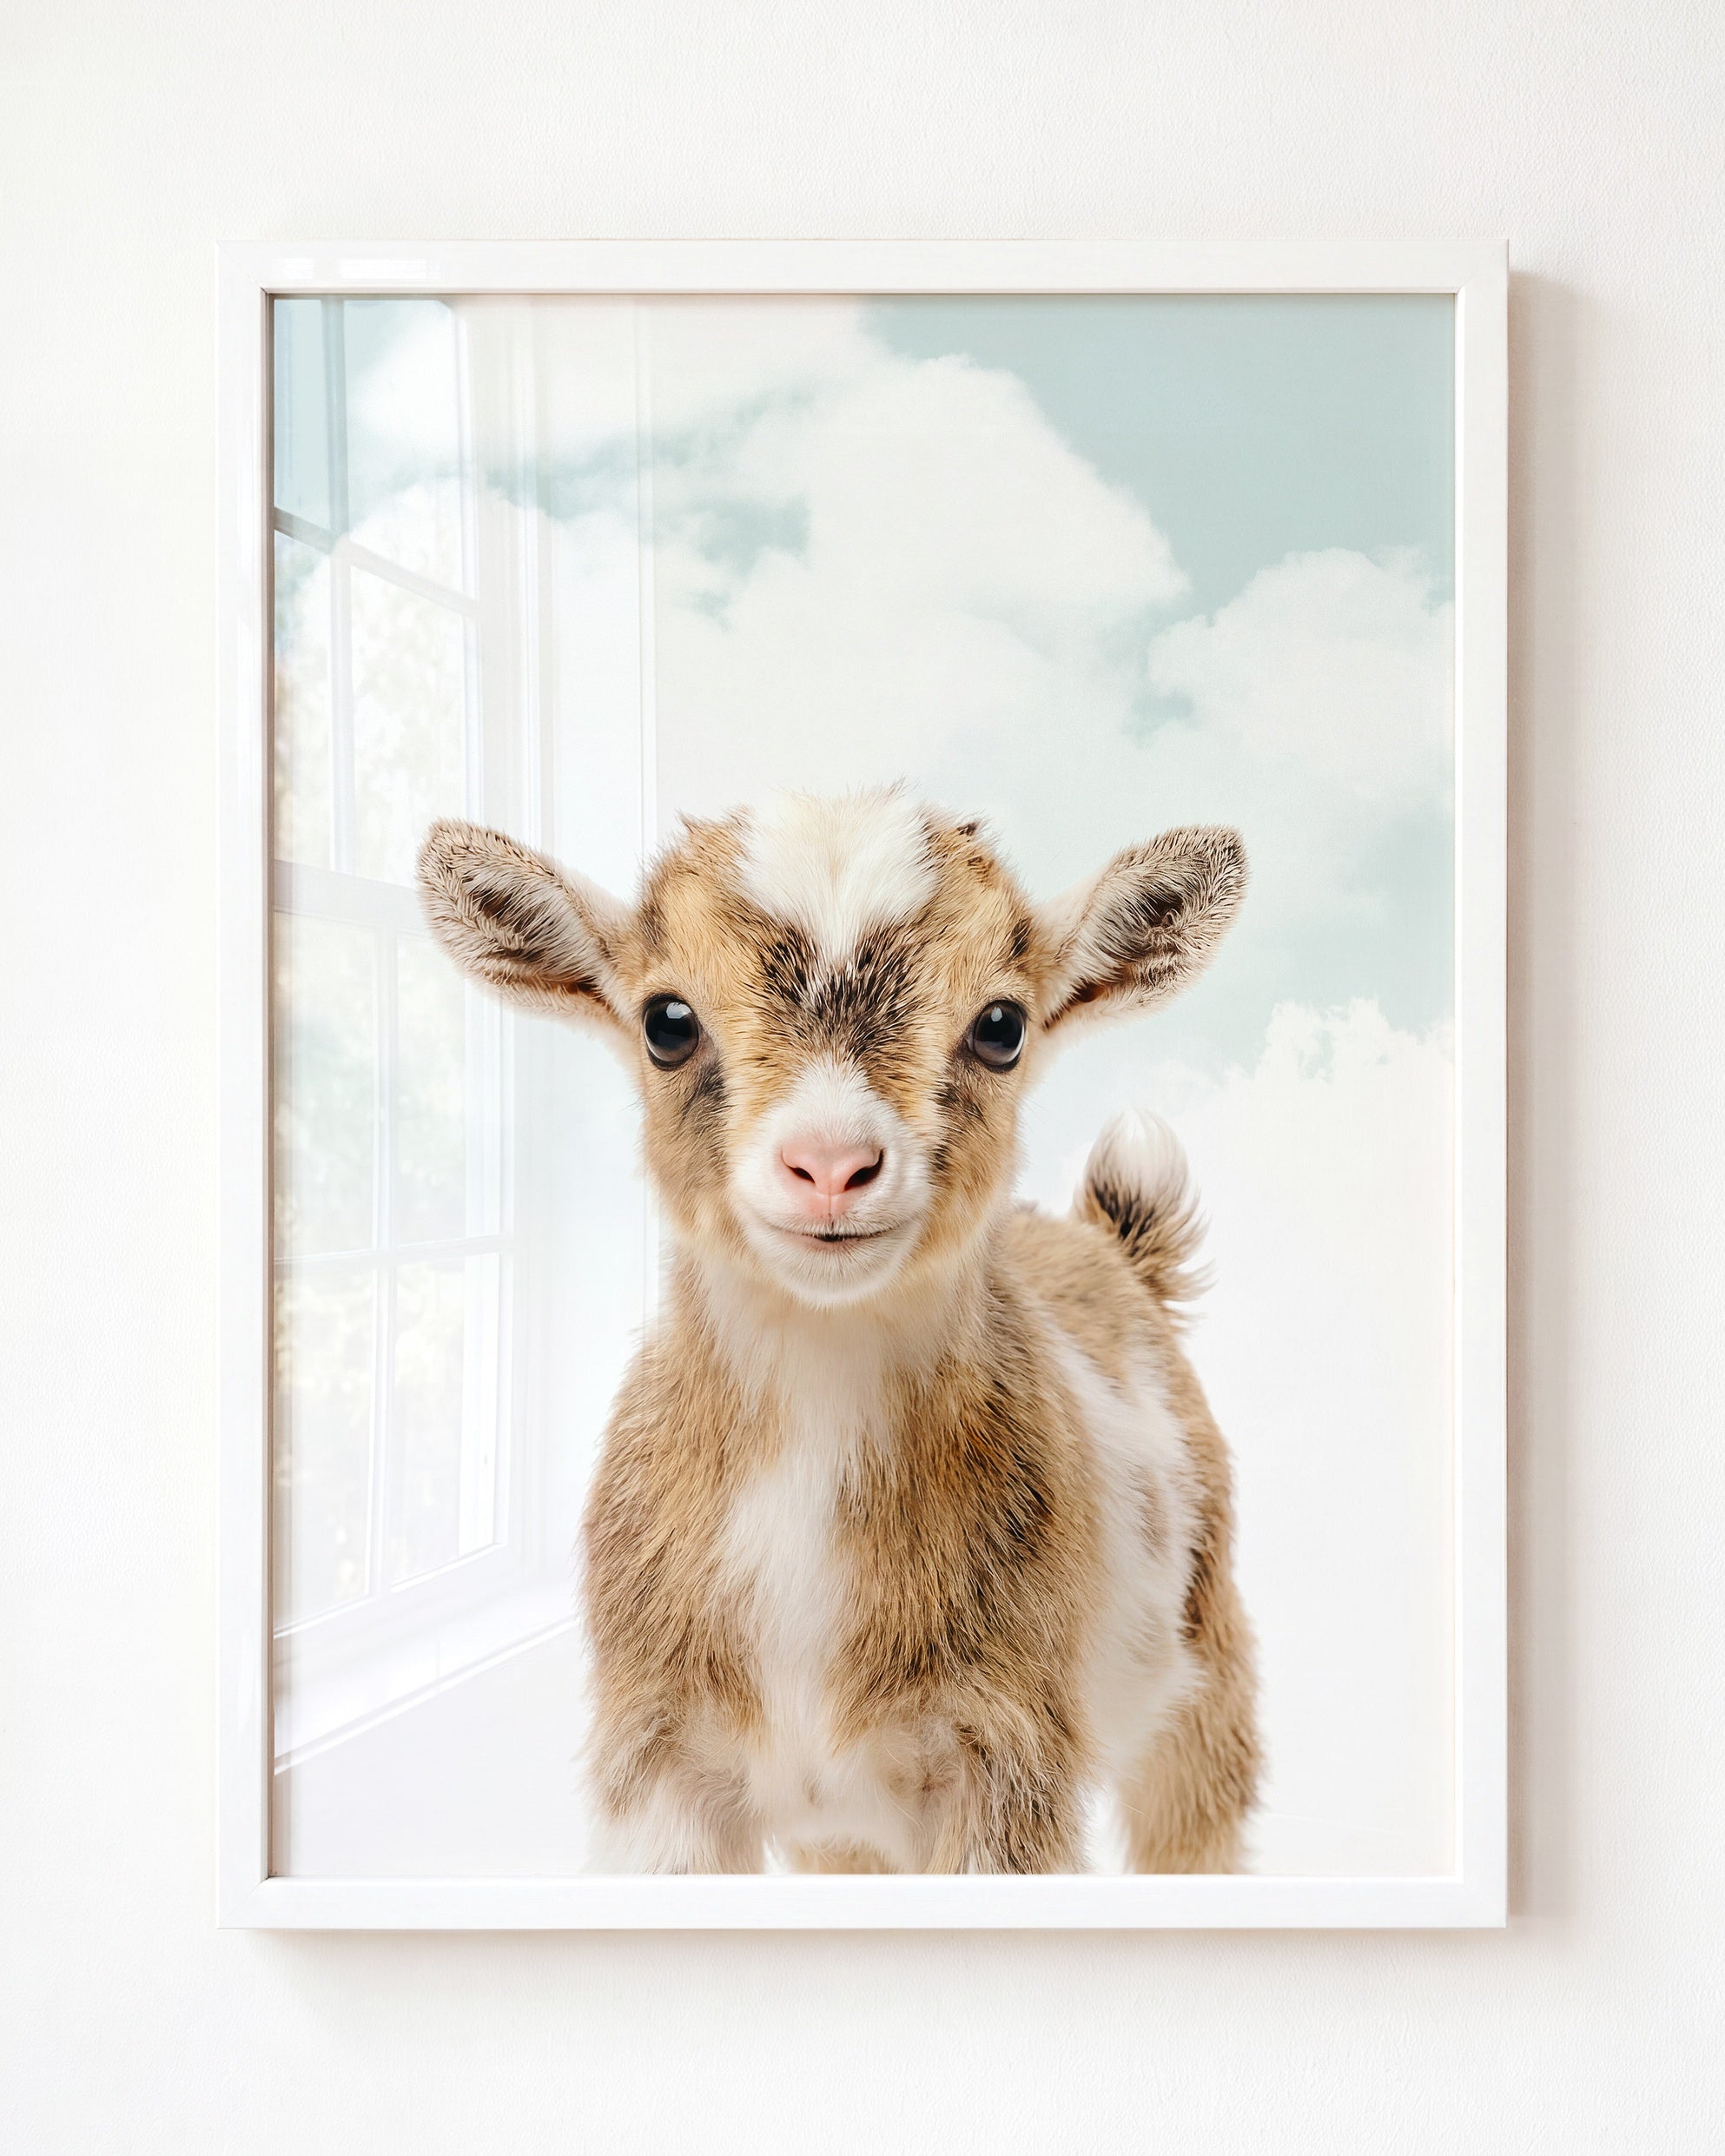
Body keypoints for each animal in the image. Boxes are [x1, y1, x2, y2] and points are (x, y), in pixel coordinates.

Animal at [418, 787, 1259, 1873]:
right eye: (666, 1021)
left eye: (1002, 1025)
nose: (829, 1165)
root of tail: (1113, 1249)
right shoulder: (658, 1763)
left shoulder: (1009, 1758)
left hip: (1206, 1670)